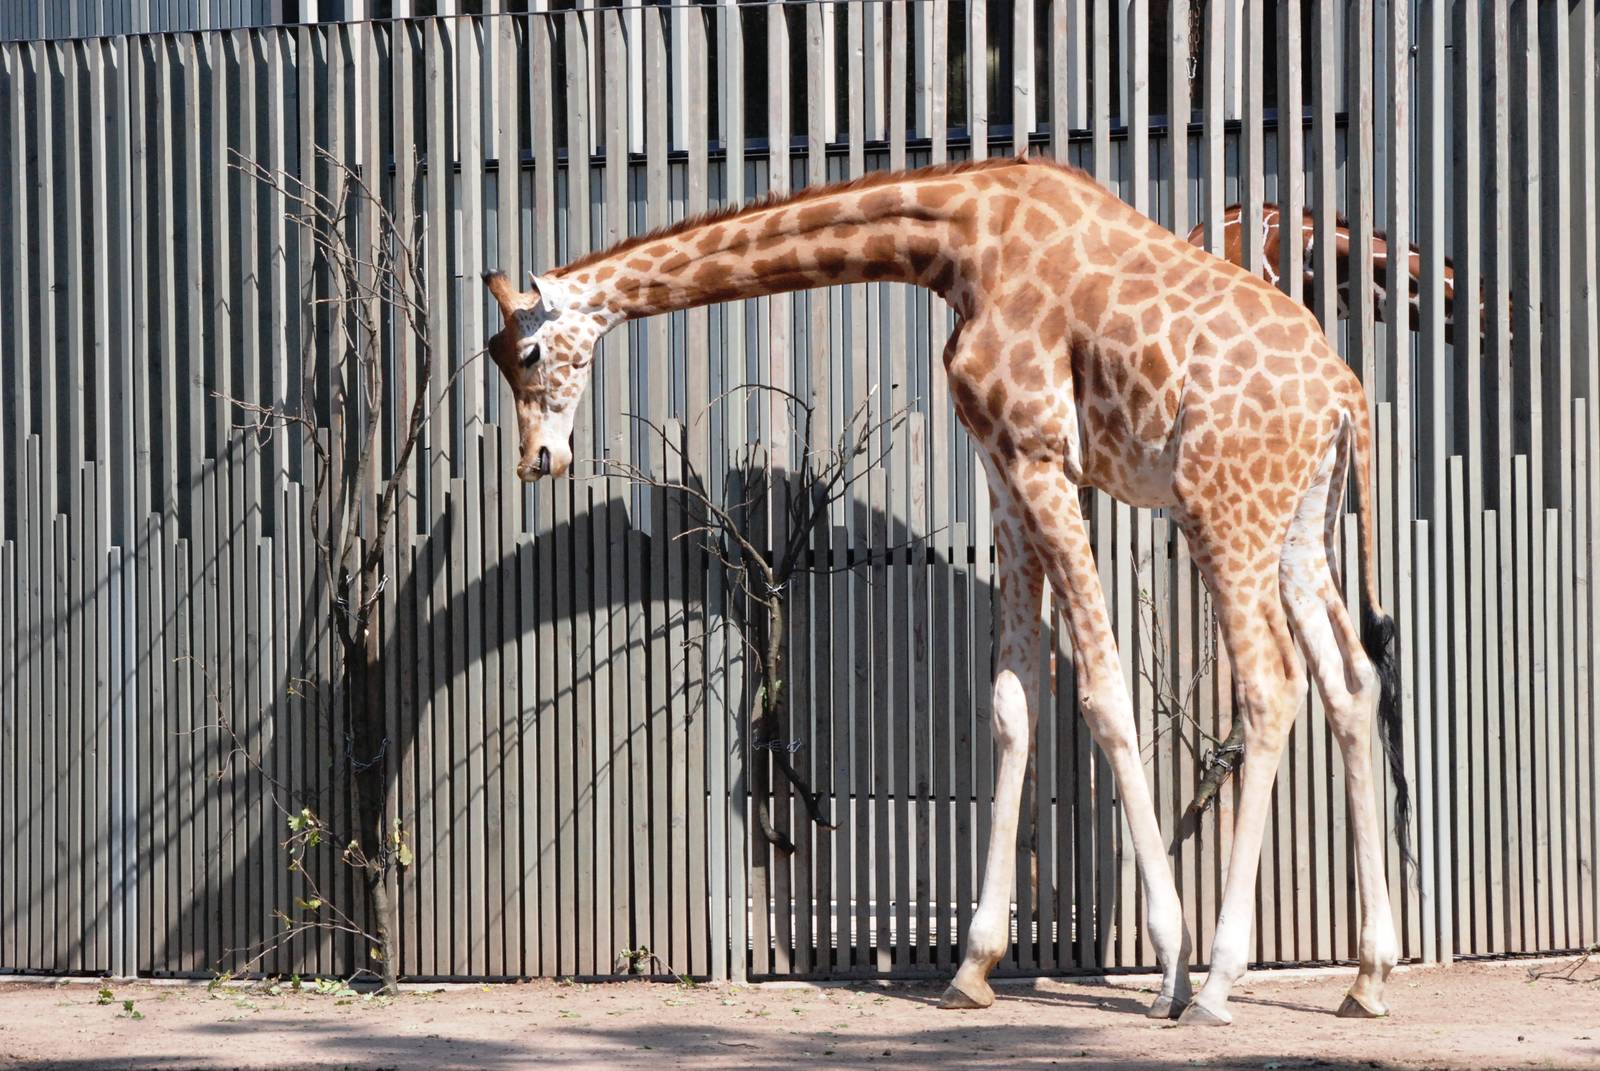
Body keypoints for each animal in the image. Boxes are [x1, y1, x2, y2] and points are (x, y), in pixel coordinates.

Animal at [482, 155, 1411, 1026]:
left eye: (527, 353)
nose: (538, 460)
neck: (958, 242)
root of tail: (1347, 395)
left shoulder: (1041, 455)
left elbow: (1104, 693)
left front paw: (1170, 966)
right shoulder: (1001, 467)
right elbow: (1012, 700)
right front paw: (973, 965)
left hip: (1223, 508)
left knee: (1271, 685)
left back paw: (1218, 983)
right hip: (1299, 526)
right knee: (1351, 682)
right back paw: (1367, 976)